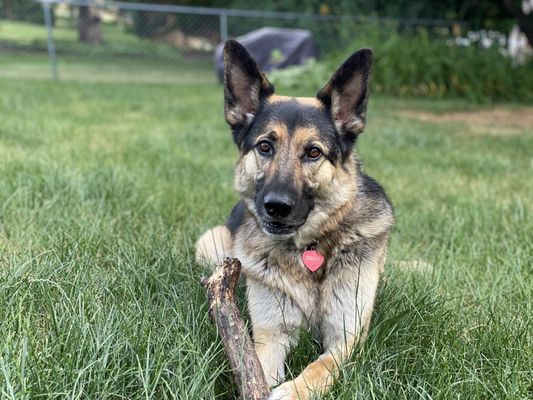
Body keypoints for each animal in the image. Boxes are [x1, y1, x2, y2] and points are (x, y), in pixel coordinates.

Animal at [194, 41, 390, 400]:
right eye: (264, 146)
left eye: (313, 152)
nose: (276, 207)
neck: (310, 247)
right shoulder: (271, 334)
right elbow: (257, 366)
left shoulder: (347, 338)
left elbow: (319, 367)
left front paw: (292, 390)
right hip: (209, 245)